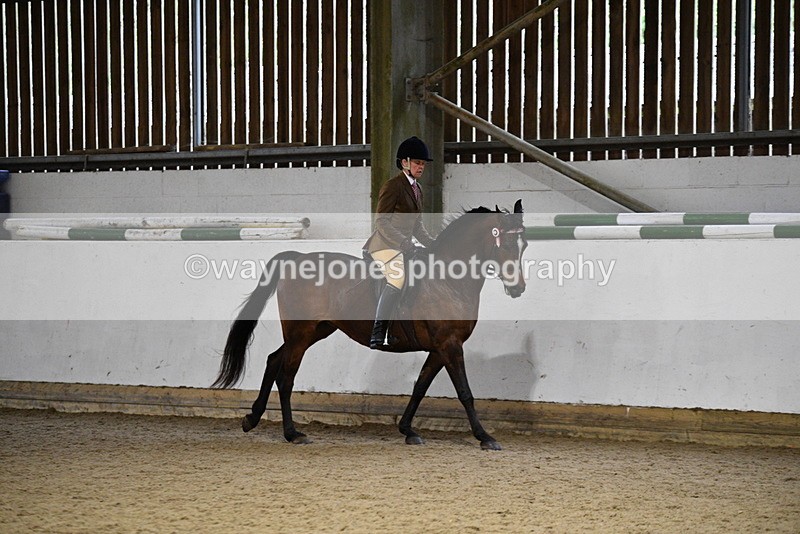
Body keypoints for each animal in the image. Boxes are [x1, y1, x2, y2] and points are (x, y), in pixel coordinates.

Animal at [212, 199, 528, 450]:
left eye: (524, 245)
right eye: (506, 243)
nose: (518, 289)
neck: (447, 280)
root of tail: (296, 258)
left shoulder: (440, 348)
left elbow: (420, 386)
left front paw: (408, 430)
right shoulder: (450, 345)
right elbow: (465, 393)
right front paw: (485, 437)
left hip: (315, 331)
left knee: (273, 360)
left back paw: (252, 418)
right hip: (300, 333)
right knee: (286, 376)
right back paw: (292, 434)